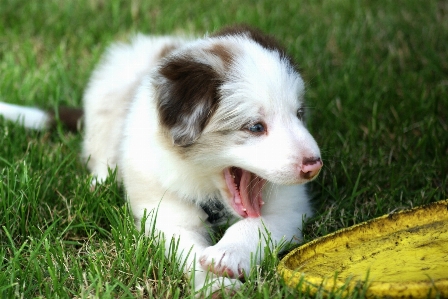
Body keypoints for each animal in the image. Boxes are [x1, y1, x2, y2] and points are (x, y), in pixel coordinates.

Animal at [0, 26, 324, 298]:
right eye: (255, 127)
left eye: (299, 113)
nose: (314, 165)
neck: (207, 187)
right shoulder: (165, 215)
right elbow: (188, 249)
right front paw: (215, 285)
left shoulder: (292, 209)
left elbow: (254, 226)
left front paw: (226, 256)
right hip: (106, 93)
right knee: (99, 151)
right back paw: (100, 183)